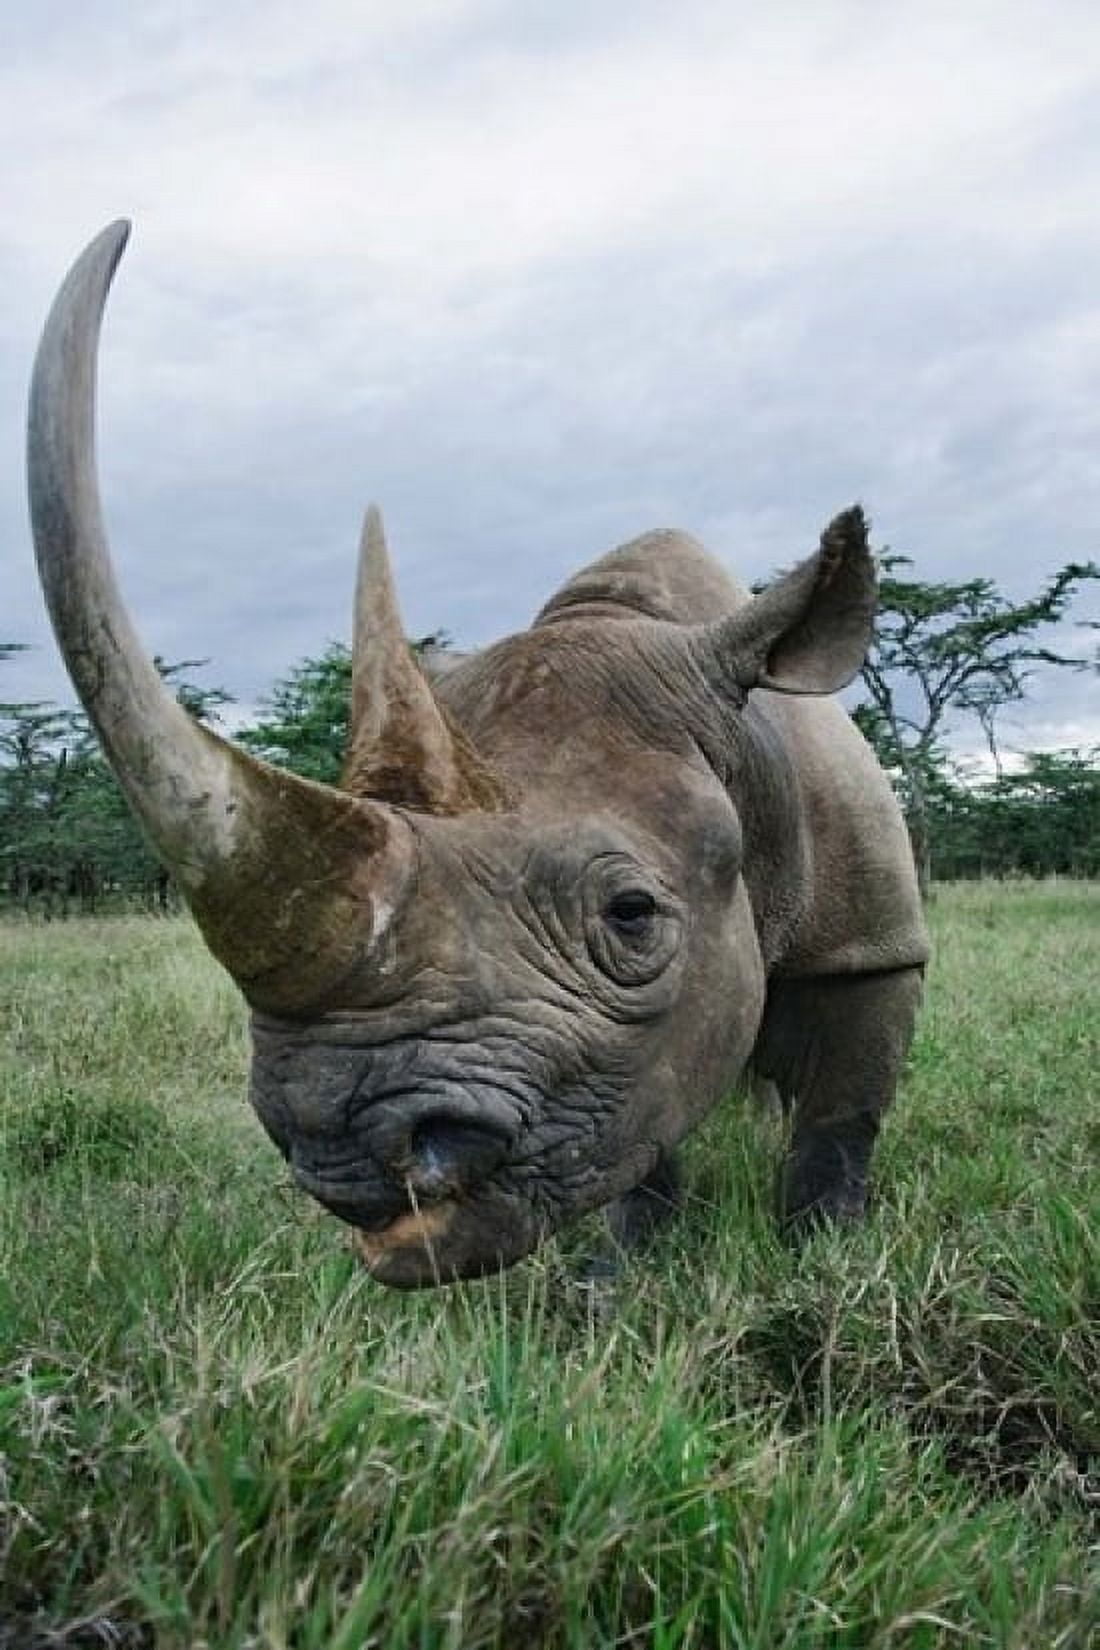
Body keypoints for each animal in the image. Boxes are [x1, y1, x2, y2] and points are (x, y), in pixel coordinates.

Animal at [27, 222, 929, 1287]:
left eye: (632, 916)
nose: (342, 1144)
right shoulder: (628, 1055)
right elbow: (642, 1134)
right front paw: (617, 1281)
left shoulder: (872, 944)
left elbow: (841, 1113)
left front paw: (829, 1260)